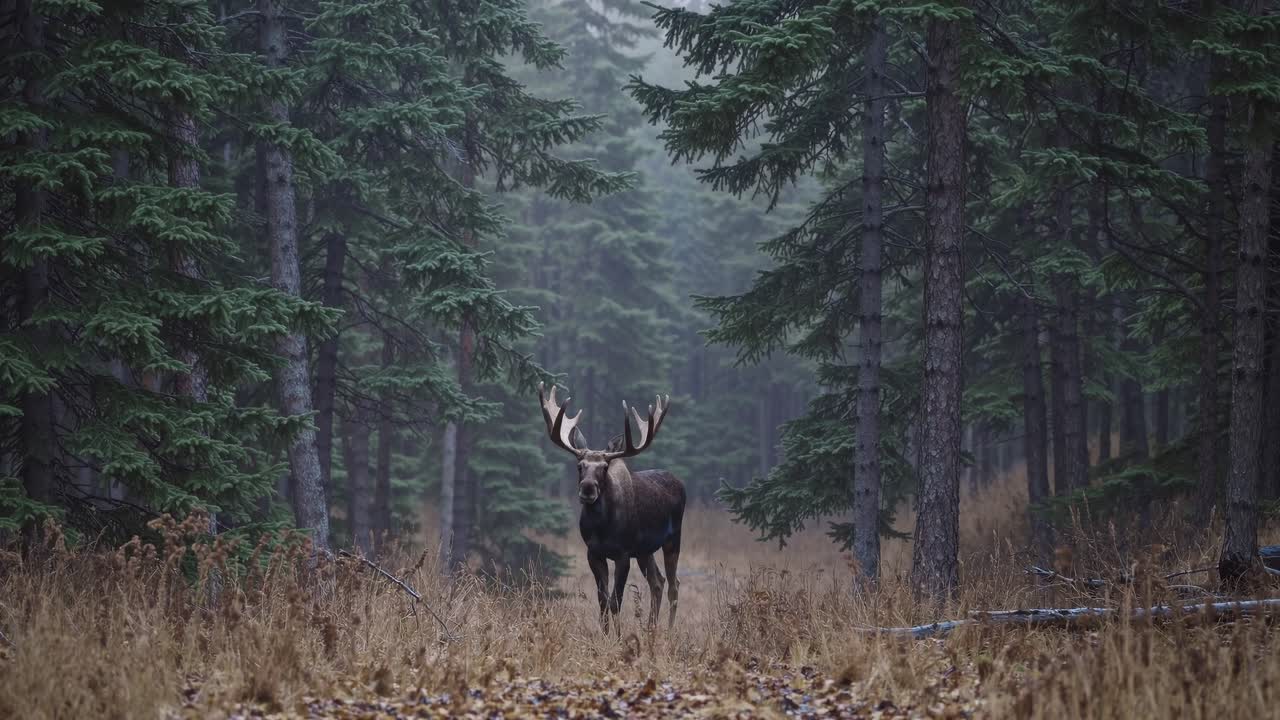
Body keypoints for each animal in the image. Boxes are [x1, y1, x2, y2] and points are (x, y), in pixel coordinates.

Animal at [538, 382, 685, 632]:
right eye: (580, 465)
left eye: (605, 467)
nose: (588, 488)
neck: (602, 528)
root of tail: (680, 482)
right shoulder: (593, 552)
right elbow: (603, 600)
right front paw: (605, 634)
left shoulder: (623, 553)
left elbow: (616, 601)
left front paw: (617, 637)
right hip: (644, 550)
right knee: (658, 581)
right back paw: (650, 630)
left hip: (673, 539)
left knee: (674, 584)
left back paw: (668, 631)